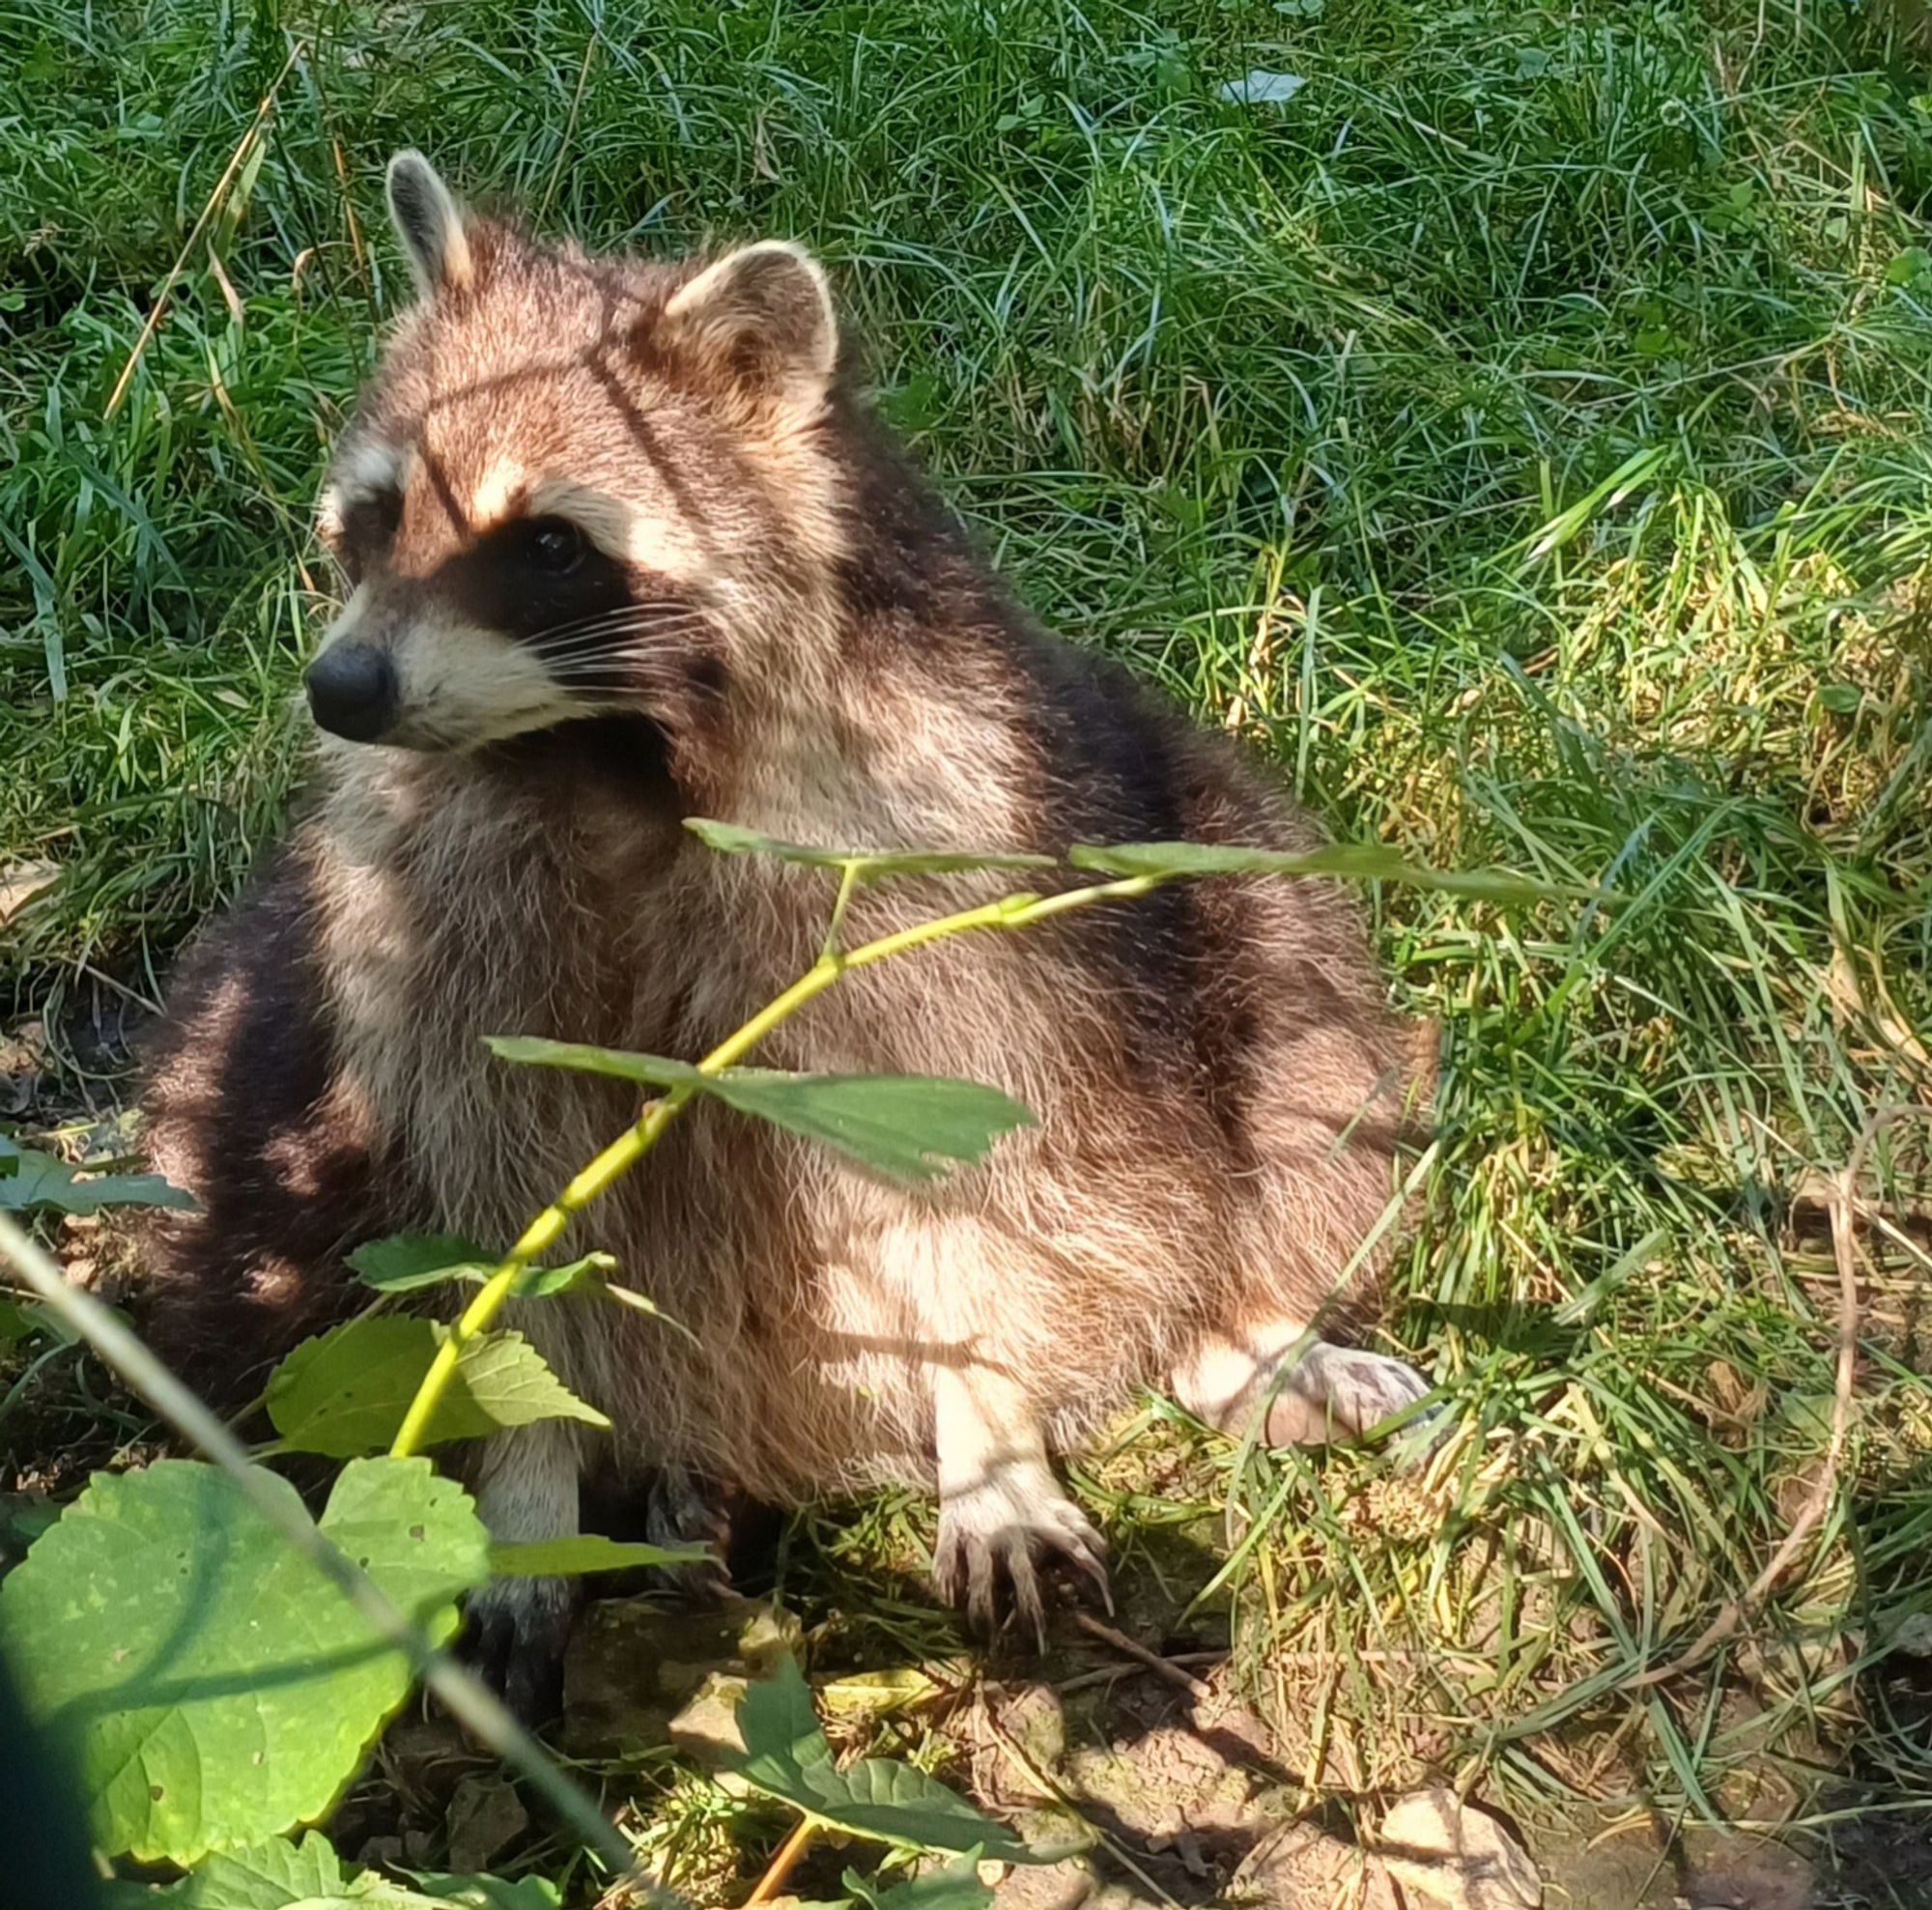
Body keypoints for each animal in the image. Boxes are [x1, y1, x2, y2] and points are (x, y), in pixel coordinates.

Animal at [143, 157, 1437, 1708]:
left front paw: (988, 1421)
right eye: (378, 515)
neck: (603, 753)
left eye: (547, 544)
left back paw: (1233, 1333)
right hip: (252, 1059)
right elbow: (504, 1230)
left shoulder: (945, 861)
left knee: (1300, 1062)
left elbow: (986, 1157)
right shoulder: (427, 932)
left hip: (1225, 868)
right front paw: (524, 1487)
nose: (340, 691)